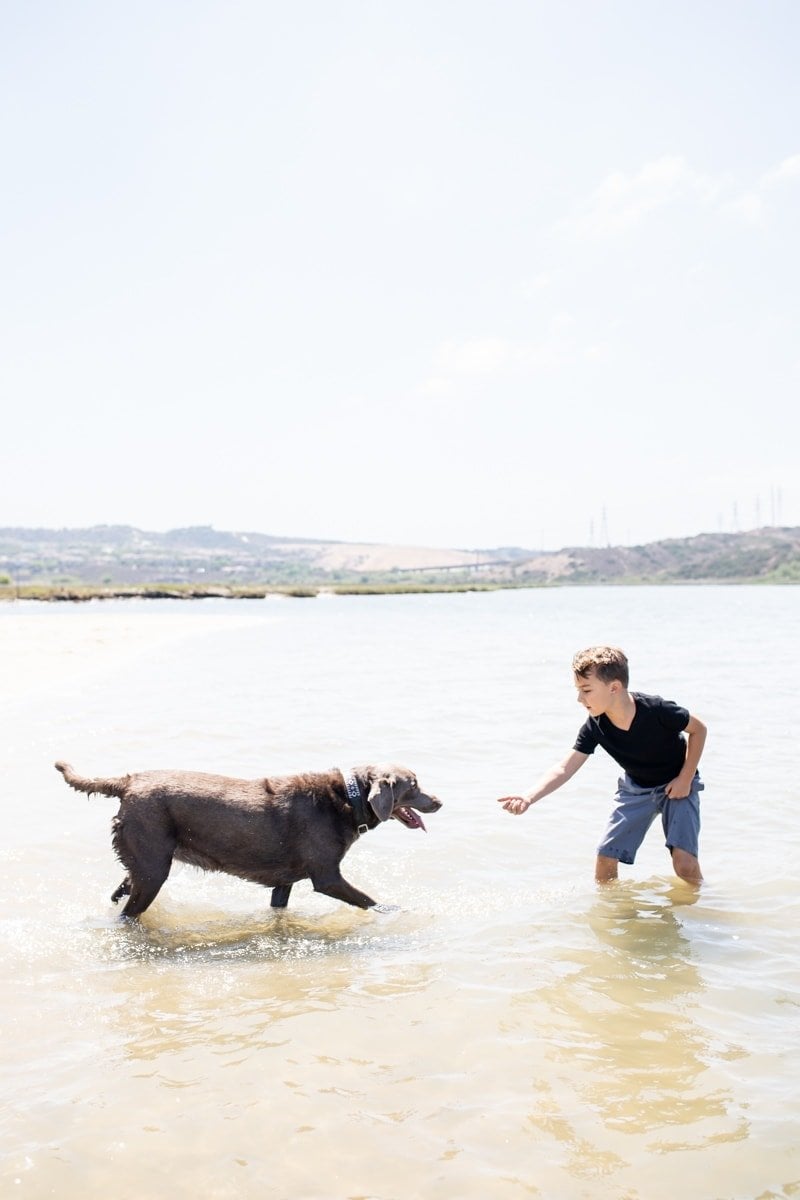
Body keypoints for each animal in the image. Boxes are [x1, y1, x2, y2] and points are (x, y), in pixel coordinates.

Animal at [54, 758, 443, 916]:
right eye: (414, 786)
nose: (439, 801)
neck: (346, 799)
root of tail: (128, 782)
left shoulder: (284, 881)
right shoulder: (327, 877)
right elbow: (369, 900)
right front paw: (397, 911)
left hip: (141, 861)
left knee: (119, 892)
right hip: (153, 868)